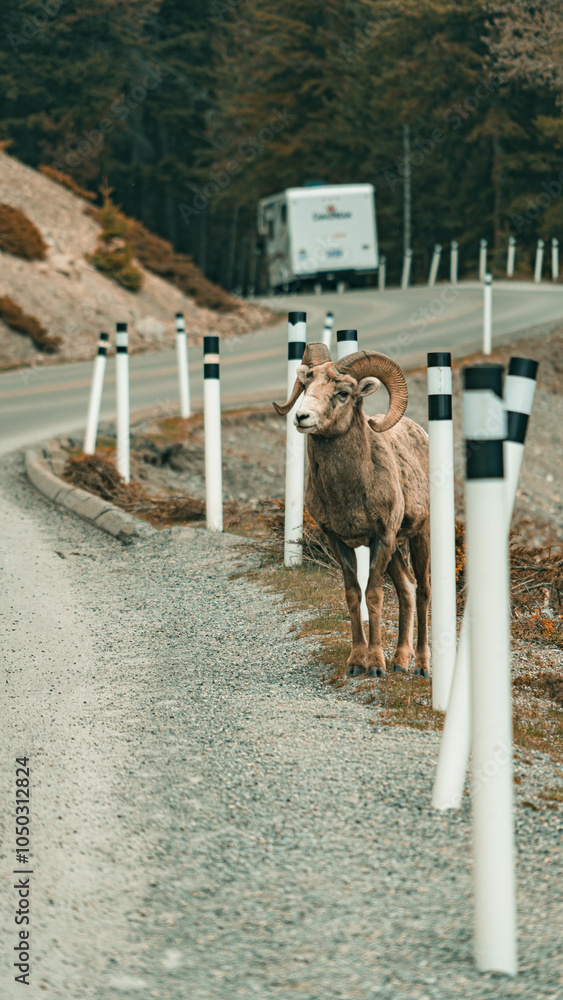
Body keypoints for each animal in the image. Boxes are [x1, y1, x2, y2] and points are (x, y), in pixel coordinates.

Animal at [274, 343, 430, 679]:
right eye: (306, 384)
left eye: (343, 393)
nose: (302, 417)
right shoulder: (339, 541)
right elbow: (353, 595)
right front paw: (357, 663)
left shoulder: (381, 538)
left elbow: (373, 595)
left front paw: (376, 665)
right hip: (395, 550)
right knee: (407, 588)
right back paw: (400, 660)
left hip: (419, 535)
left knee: (423, 589)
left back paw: (421, 666)